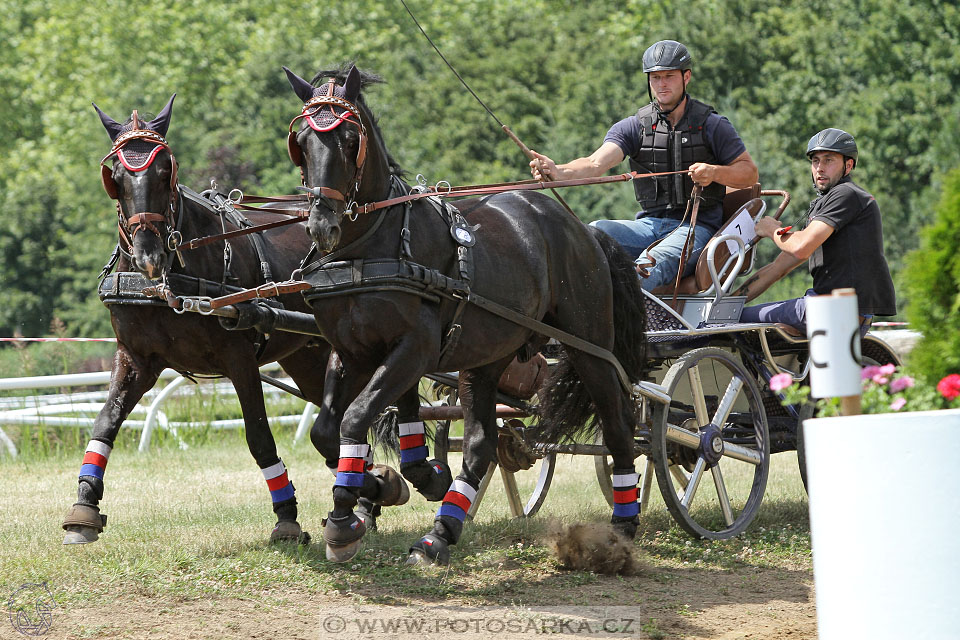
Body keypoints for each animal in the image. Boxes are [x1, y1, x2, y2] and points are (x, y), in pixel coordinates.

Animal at [59, 95, 404, 544]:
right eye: (114, 175)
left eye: (166, 170)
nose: (149, 254)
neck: (175, 276)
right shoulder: (137, 359)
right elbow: (105, 423)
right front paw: (84, 505)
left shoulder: (238, 357)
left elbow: (258, 435)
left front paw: (287, 515)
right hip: (308, 356)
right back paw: (365, 495)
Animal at [284, 65, 644, 564]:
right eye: (301, 140)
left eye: (350, 139)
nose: (323, 225)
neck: (371, 246)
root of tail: (582, 229)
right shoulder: (351, 352)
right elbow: (326, 431)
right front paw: (387, 485)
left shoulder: (413, 350)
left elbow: (355, 419)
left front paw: (345, 520)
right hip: (488, 356)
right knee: (480, 445)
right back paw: (440, 533)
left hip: (589, 346)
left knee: (617, 423)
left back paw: (623, 524)